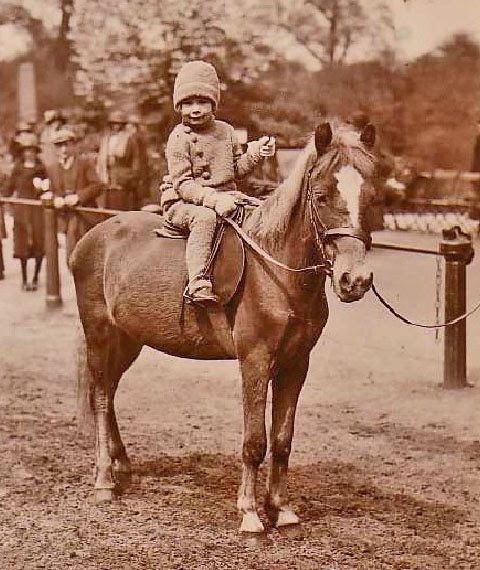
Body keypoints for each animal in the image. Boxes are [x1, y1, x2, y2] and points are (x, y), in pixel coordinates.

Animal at [71, 120, 376, 532]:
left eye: (371, 196)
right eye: (322, 196)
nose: (354, 280)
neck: (275, 270)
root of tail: (93, 234)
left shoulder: (296, 363)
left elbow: (283, 439)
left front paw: (281, 509)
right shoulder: (255, 360)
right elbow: (255, 441)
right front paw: (250, 513)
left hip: (129, 339)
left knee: (110, 393)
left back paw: (122, 466)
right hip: (100, 333)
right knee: (102, 398)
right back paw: (104, 480)